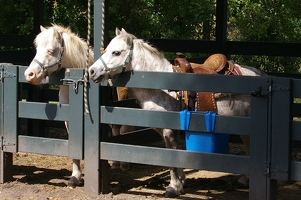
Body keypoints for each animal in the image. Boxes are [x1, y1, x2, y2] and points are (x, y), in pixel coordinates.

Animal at [87, 27, 264, 197]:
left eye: (116, 52)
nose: (92, 71)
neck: (162, 86)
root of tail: (259, 74)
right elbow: (176, 155)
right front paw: (182, 181)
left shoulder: (168, 129)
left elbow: (171, 158)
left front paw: (173, 187)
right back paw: (244, 179)